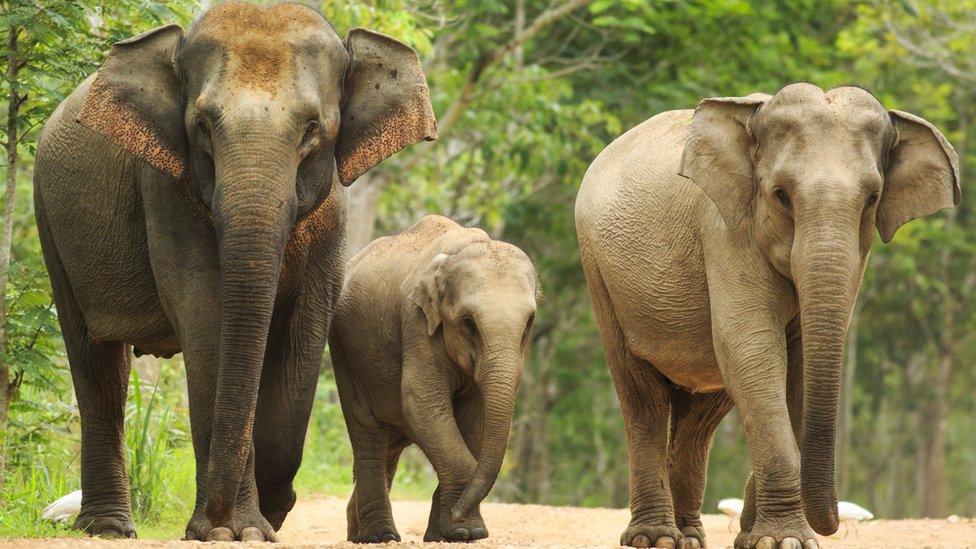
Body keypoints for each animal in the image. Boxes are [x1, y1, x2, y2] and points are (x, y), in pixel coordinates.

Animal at [31, 0, 434, 540]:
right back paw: (109, 528)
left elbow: (305, 328)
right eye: (202, 125)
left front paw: (268, 514)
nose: (213, 519)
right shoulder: (164, 188)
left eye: (312, 128)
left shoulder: (334, 211)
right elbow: (206, 314)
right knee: (96, 363)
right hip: (50, 220)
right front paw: (234, 530)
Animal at [332, 215, 536, 544]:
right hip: (344, 349)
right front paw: (467, 530)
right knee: (368, 430)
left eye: (529, 322)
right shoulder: (417, 323)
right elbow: (422, 404)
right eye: (468, 322)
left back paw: (358, 534)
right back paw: (379, 536)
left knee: (390, 442)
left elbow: (475, 420)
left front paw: (452, 533)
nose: (460, 514)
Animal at [576, 82, 956, 548]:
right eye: (781, 195)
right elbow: (751, 347)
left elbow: (796, 365)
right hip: (599, 273)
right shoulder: (725, 229)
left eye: (872, 199)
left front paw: (759, 537)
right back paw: (658, 538)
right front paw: (783, 540)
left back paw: (690, 537)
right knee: (641, 396)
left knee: (701, 415)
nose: (835, 521)